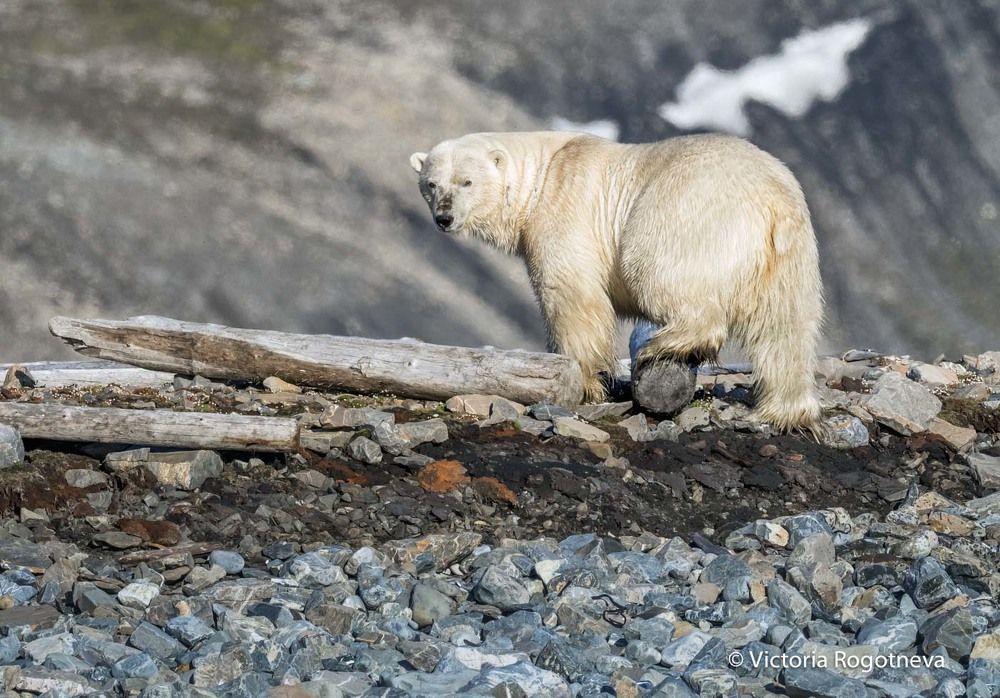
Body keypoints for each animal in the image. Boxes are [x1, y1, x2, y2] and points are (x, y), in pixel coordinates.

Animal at [409, 131, 823, 430]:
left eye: (467, 181)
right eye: (431, 183)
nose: (444, 218)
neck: (543, 174)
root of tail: (772, 198)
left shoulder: (565, 211)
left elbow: (571, 295)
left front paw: (585, 381)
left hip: (682, 215)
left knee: (660, 273)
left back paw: (663, 344)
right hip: (791, 255)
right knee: (785, 328)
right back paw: (783, 410)